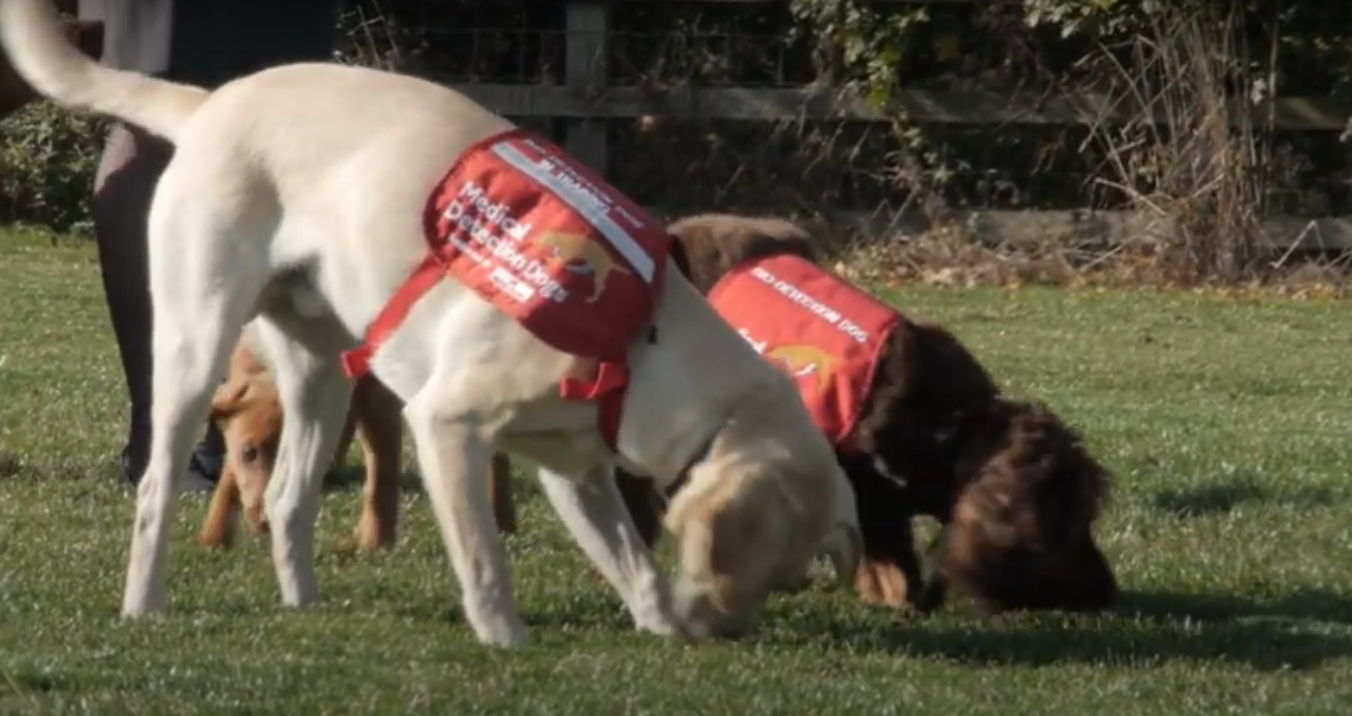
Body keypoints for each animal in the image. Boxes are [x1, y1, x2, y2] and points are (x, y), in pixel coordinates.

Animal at [0, 0, 859, 645]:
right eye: (763, 565)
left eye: (787, 576)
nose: (725, 634)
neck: (639, 340)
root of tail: (213, 99)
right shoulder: (446, 424)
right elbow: (484, 561)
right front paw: (506, 640)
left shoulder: (575, 472)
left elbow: (633, 564)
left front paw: (659, 625)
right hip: (195, 346)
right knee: (156, 488)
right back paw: (144, 606)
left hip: (320, 380)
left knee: (288, 499)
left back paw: (305, 607)